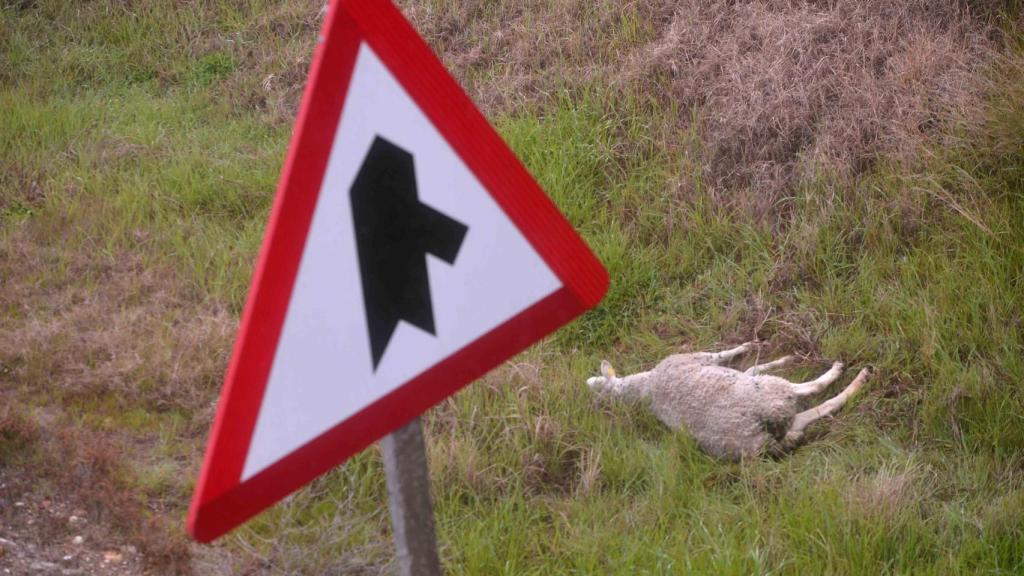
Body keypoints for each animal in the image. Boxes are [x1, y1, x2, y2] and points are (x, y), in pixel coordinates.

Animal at [586, 342, 871, 460]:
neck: (644, 386)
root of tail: (758, 438)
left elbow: (751, 367)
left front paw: (779, 358)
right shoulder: (701, 357)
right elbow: (724, 353)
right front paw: (748, 346)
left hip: (784, 416)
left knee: (816, 411)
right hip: (772, 393)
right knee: (812, 389)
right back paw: (850, 375)